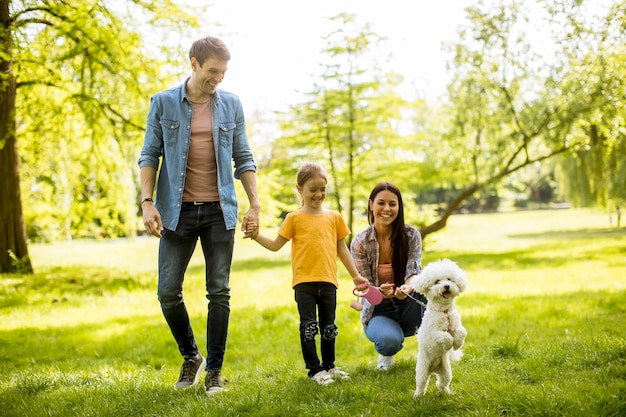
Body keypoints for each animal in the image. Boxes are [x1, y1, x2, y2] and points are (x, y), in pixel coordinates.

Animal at [410, 256, 464, 396]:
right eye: (437, 281)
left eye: (449, 279)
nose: (447, 286)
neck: (444, 312)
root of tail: (433, 369)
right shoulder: (432, 334)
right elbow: (444, 336)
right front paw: (449, 344)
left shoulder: (456, 326)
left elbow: (461, 332)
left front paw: (457, 344)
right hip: (422, 370)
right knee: (421, 384)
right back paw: (417, 396)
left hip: (446, 371)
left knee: (442, 383)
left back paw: (446, 393)